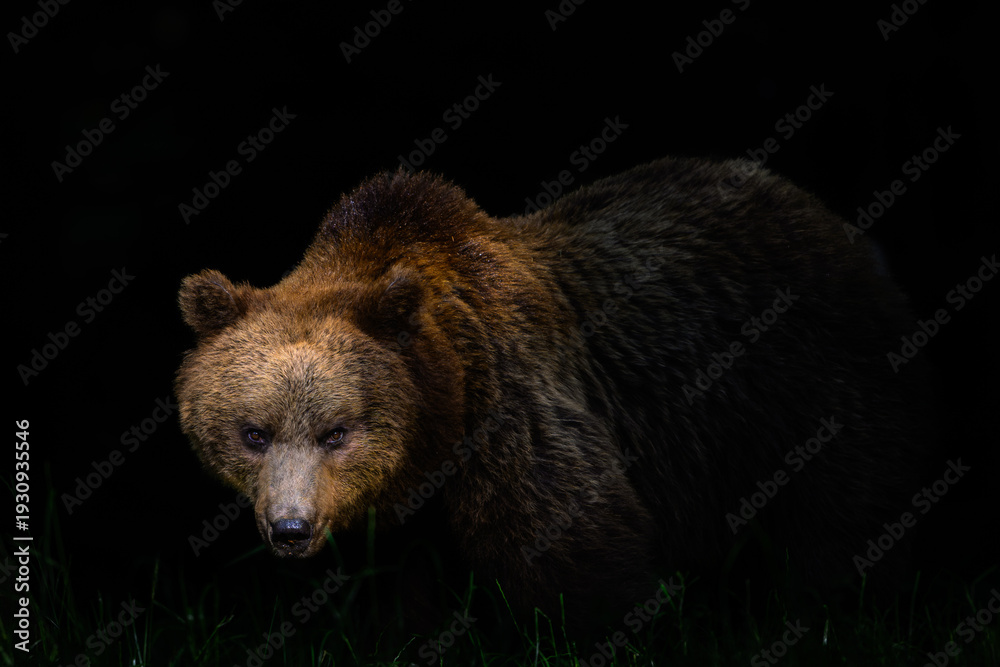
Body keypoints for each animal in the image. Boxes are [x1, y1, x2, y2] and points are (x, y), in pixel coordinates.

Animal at [175, 156, 929, 623]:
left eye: (336, 431)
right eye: (253, 433)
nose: (290, 529)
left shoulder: (513, 409)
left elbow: (576, 547)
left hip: (808, 383)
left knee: (850, 503)